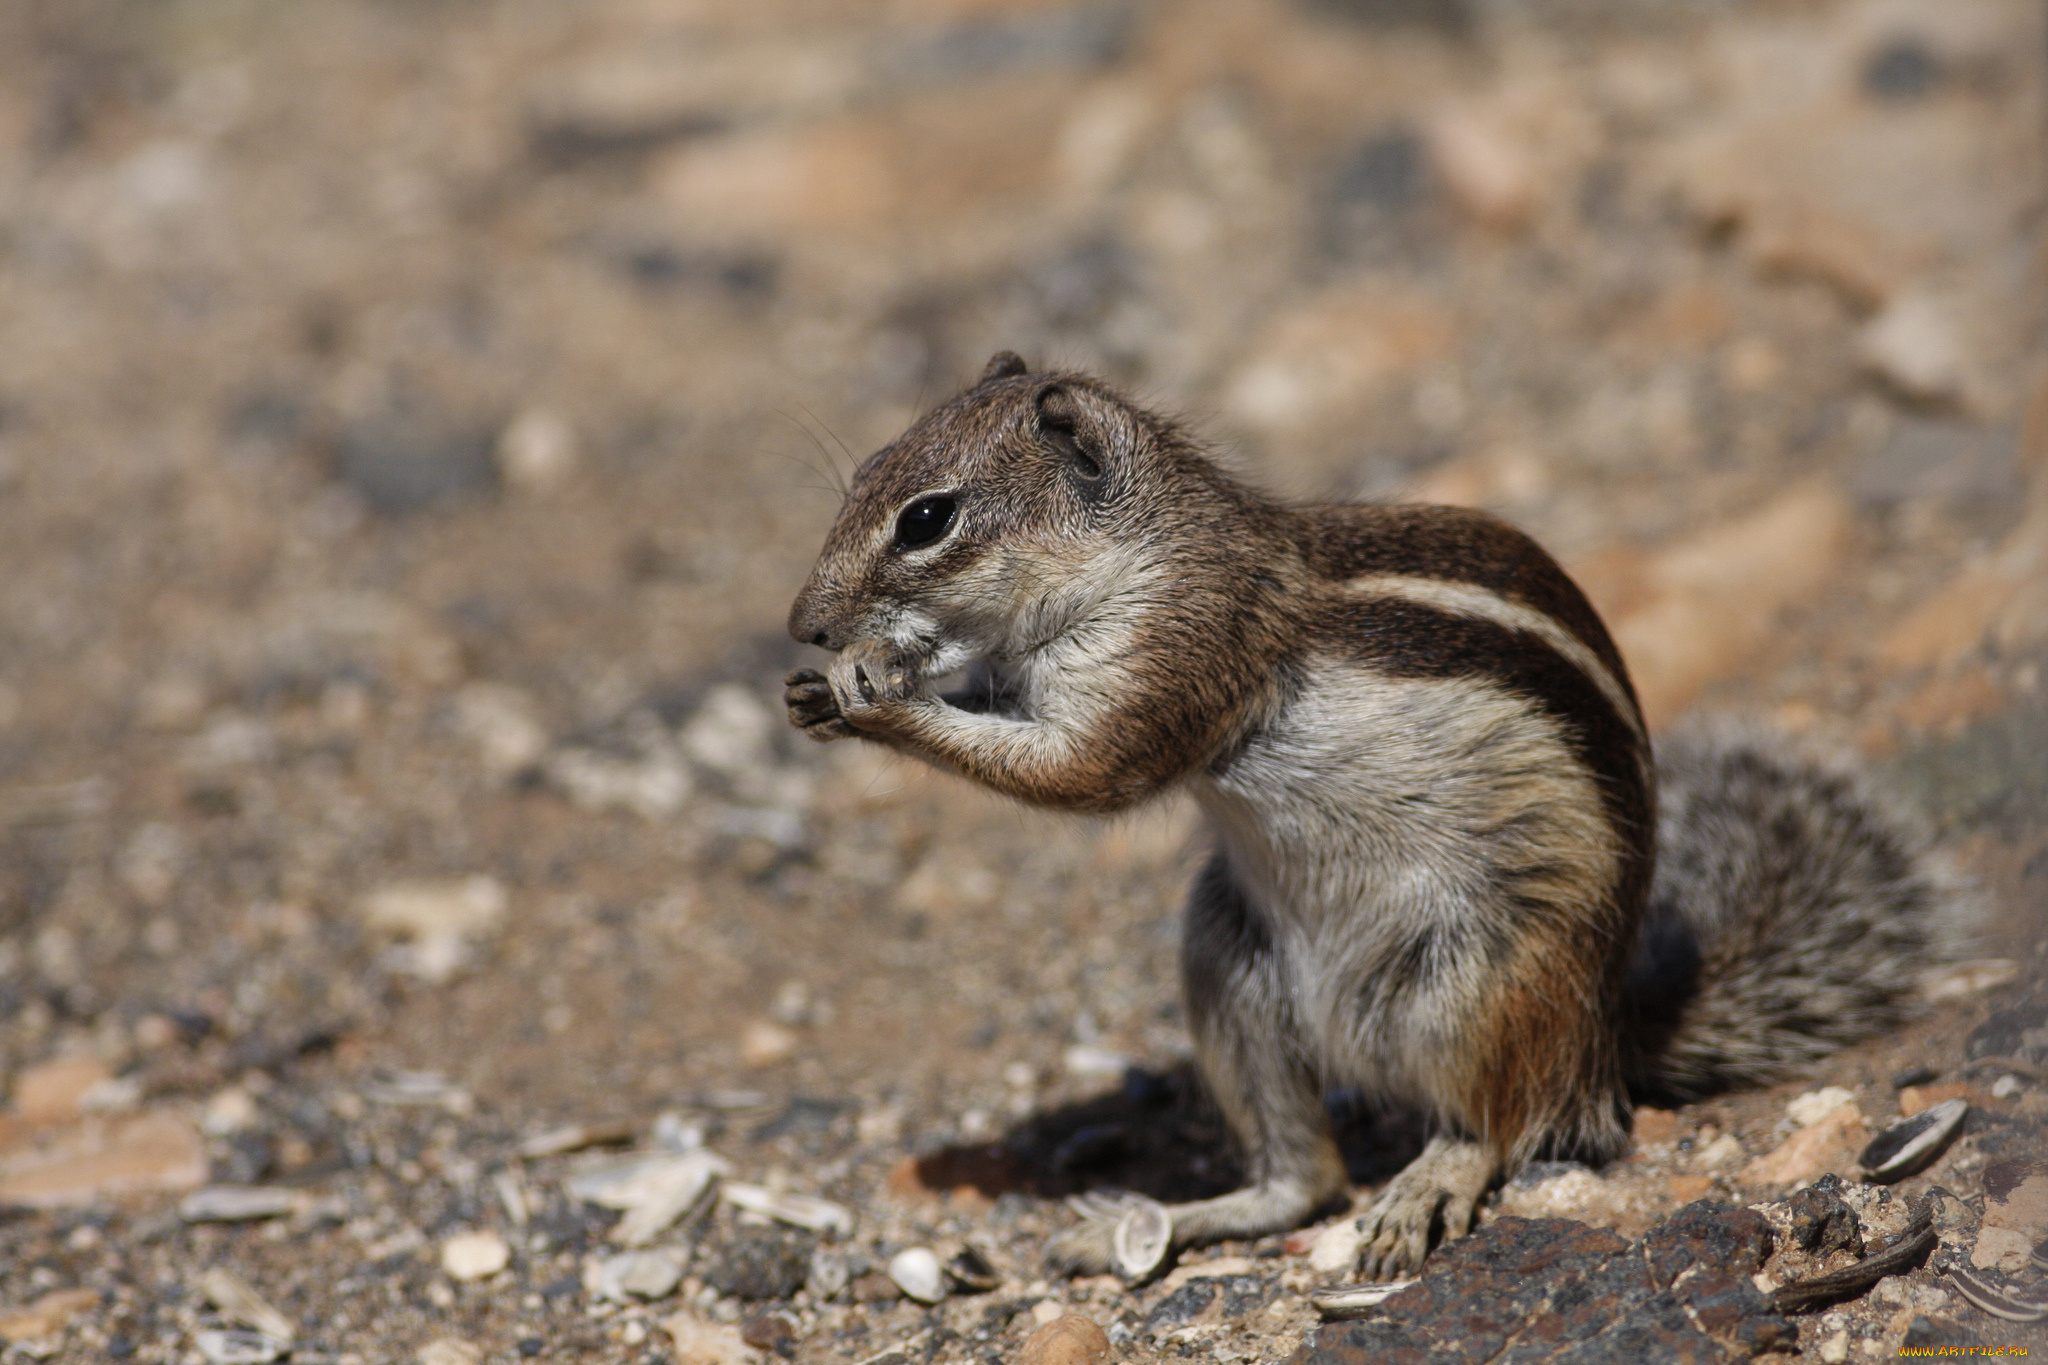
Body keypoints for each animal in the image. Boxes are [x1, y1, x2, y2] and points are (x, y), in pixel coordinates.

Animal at [778, 351, 1949, 1285]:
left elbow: (1086, 773)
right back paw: (1171, 1219)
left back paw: (1429, 1181)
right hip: (1231, 972)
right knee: (1303, 1181)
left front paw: (873, 696)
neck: (1142, 546)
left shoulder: (1176, 653)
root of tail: (1607, 1032)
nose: (803, 624)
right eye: (863, 471)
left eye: (927, 518)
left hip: (1480, 983)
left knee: (1506, 1122)